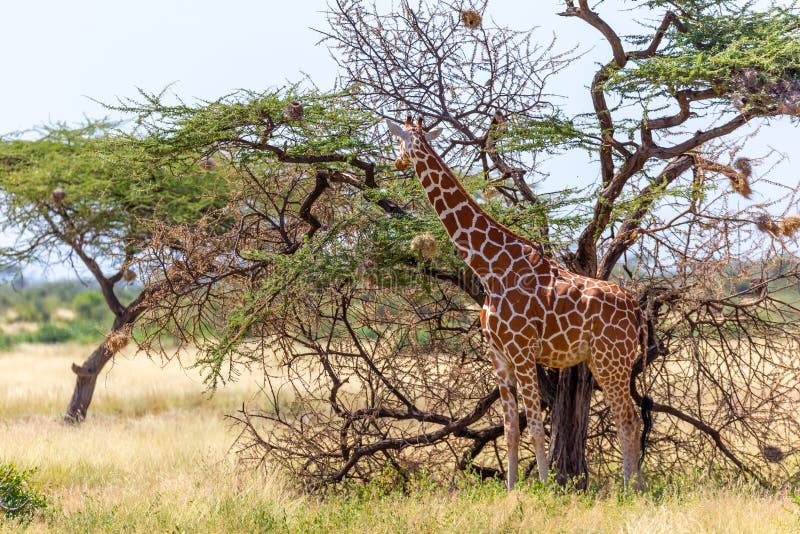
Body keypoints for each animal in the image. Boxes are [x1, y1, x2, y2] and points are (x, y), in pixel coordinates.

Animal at [387, 117, 651, 490]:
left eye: (399, 141)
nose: (397, 163)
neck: (490, 268)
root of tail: (637, 310)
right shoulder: (498, 354)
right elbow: (511, 428)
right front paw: (512, 491)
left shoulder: (523, 351)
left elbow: (538, 427)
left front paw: (545, 489)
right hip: (609, 361)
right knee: (626, 416)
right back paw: (632, 486)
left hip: (610, 359)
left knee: (628, 417)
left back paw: (632, 490)